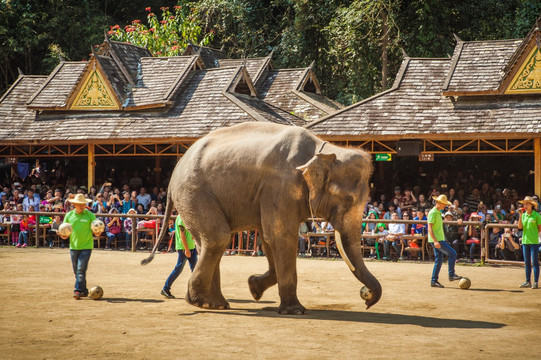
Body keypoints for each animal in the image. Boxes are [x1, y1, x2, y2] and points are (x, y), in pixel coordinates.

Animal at [143, 122, 380, 314]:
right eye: (348, 199)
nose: (365, 297)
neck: (326, 149)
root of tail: (176, 169)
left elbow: (268, 240)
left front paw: (254, 288)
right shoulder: (281, 186)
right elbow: (280, 236)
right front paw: (295, 311)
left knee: (210, 242)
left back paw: (214, 304)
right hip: (194, 192)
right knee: (219, 238)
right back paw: (198, 301)